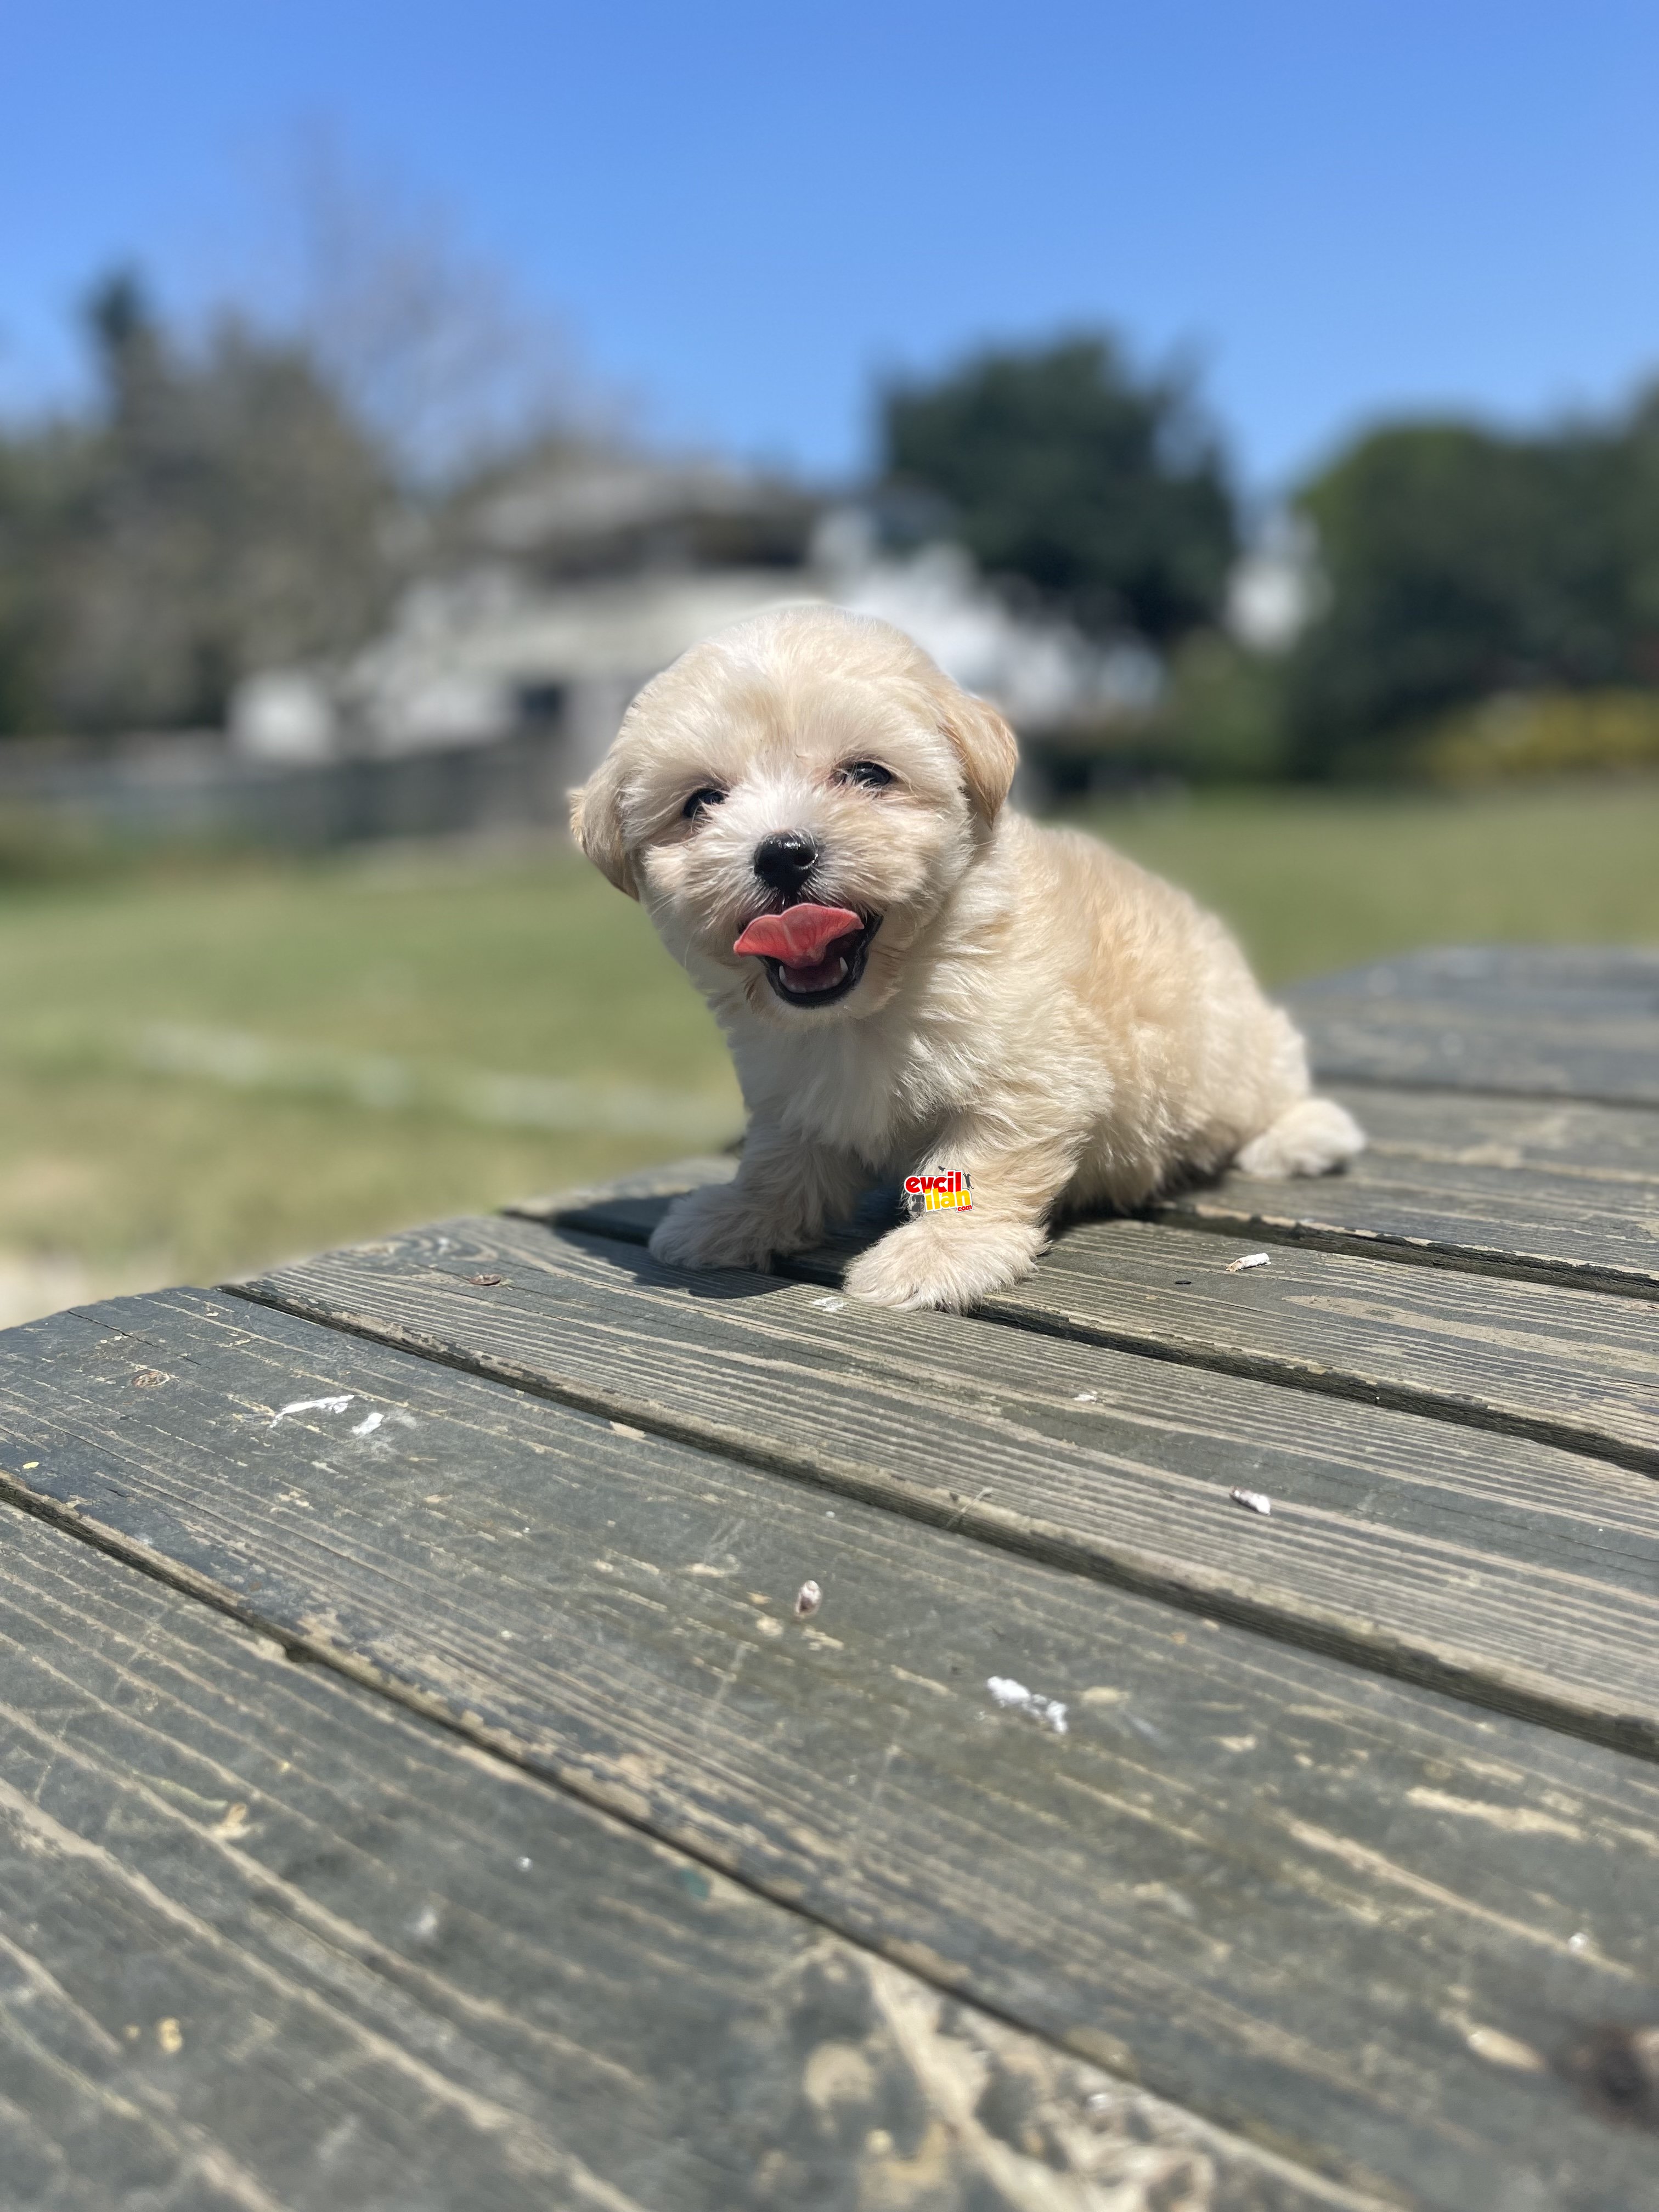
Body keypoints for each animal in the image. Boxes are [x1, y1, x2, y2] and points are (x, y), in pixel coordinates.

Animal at [571, 601, 1362, 1309]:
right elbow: (780, 1161)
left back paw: (1302, 1134)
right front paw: (737, 1215)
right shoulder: (792, 1090)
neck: (872, 1004)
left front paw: (936, 1256)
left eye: (867, 775)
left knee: (1269, 1086)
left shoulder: (1028, 1073)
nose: (784, 853)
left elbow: (979, 1162)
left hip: (1226, 1051)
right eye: (702, 802)